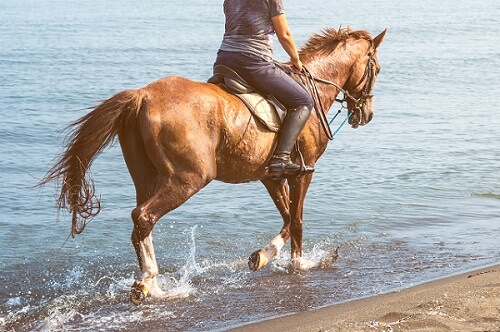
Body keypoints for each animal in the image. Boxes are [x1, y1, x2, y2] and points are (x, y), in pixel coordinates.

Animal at [42, 27, 386, 304]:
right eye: (377, 69)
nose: (366, 114)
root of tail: (141, 97)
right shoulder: (303, 171)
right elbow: (298, 220)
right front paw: (298, 264)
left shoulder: (271, 176)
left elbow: (288, 218)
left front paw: (262, 256)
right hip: (189, 178)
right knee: (144, 216)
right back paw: (148, 282)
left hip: (147, 177)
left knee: (142, 222)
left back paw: (155, 287)